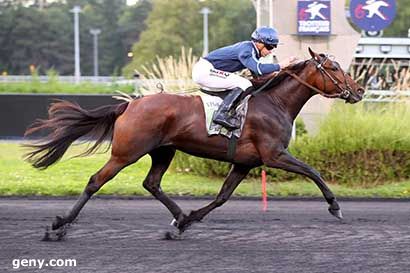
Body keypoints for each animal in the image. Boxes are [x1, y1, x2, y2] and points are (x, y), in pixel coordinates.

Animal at [24, 47, 364, 238]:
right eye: (333, 68)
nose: (359, 91)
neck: (274, 102)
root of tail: (130, 105)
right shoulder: (274, 155)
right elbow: (313, 171)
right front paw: (335, 206)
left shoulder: (244, 162)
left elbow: (221, 197)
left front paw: (188, 220)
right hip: (127, 152)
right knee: (96, 181)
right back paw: (60, 224)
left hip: (163, 151)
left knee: (152, 184)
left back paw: (179, 217)